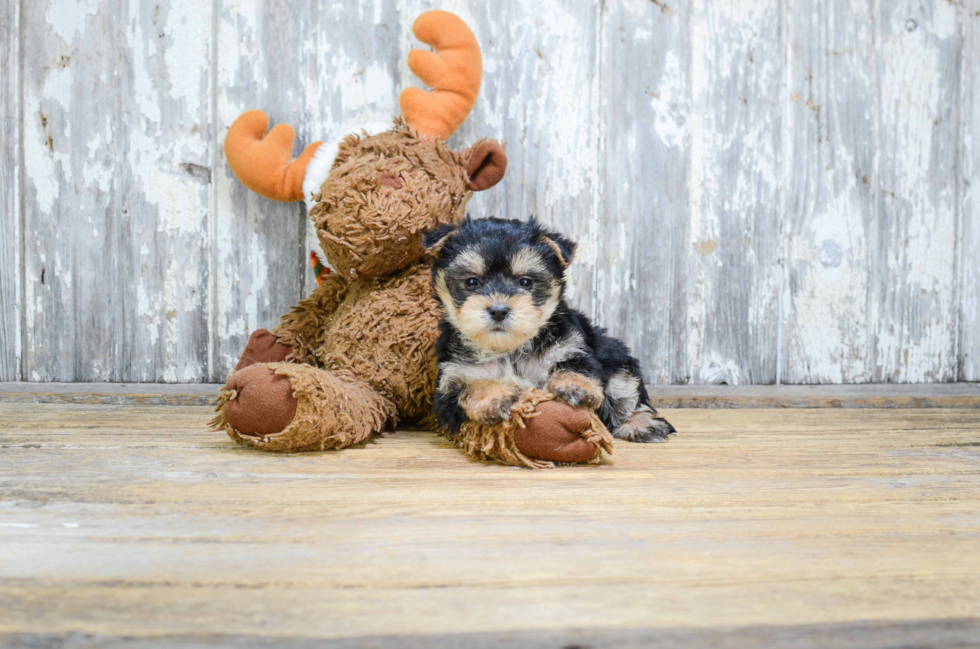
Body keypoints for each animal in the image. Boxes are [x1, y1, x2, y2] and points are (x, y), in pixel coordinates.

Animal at [424, 215, 676, 442]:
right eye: (471, 282)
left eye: (525, 282)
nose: (498, 310)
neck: (509, 349)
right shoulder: (451, 379)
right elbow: (469, 388)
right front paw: (493, 397)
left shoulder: (571, 346)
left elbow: (578, 366)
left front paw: (574, 386)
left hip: (614, 354)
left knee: (627, 393)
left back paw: (641, 424)